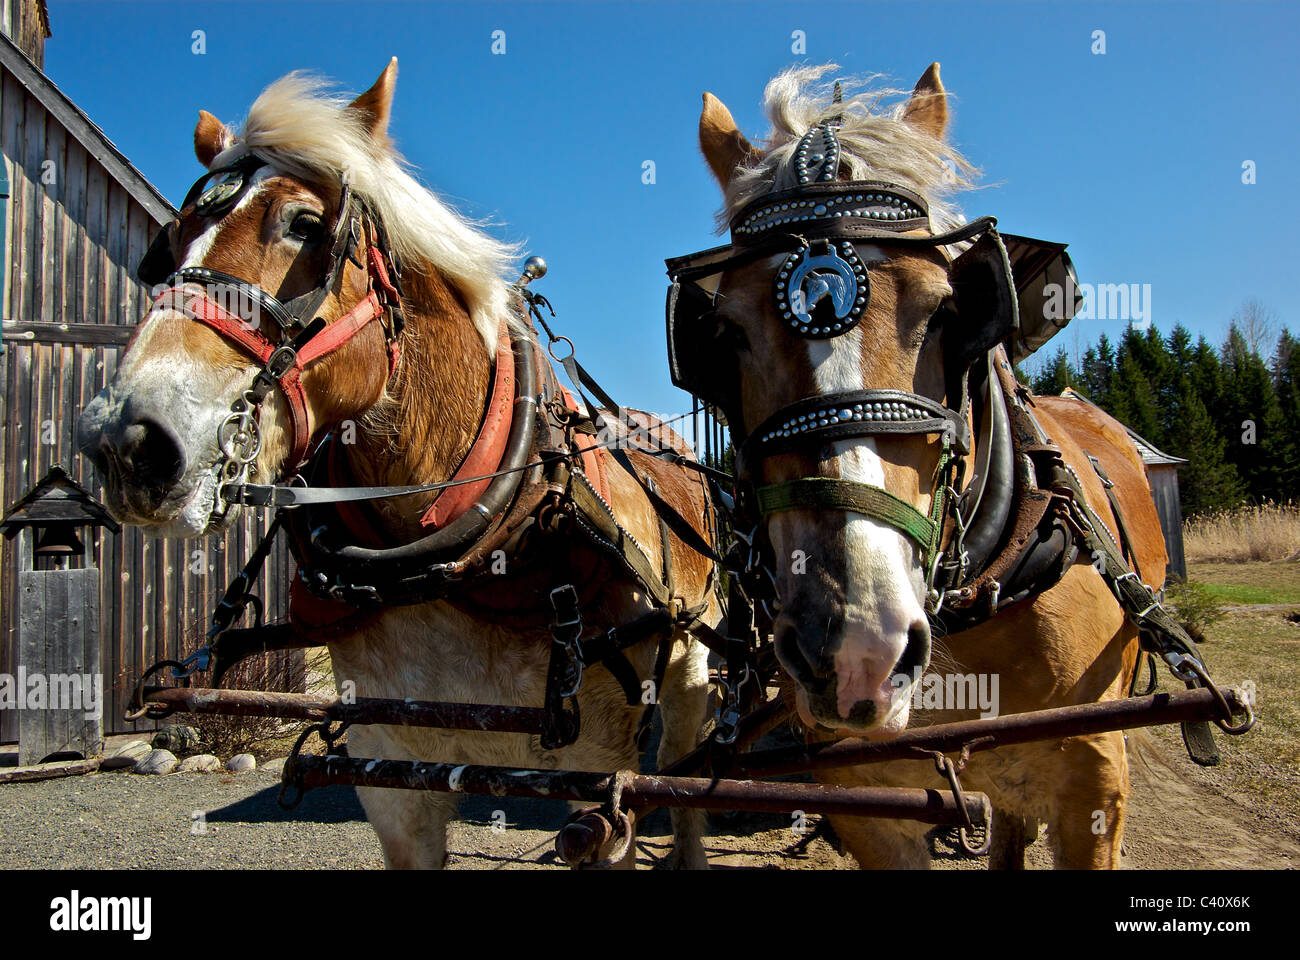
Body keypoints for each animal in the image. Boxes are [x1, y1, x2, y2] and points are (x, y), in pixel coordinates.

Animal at [76, 59, 715, 870]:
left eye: (304, 225)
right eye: (167, 246)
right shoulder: (392, 772)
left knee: (688, 793)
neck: (458, 553)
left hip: (691, 683)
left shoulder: (602, 780)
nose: (125, 440)